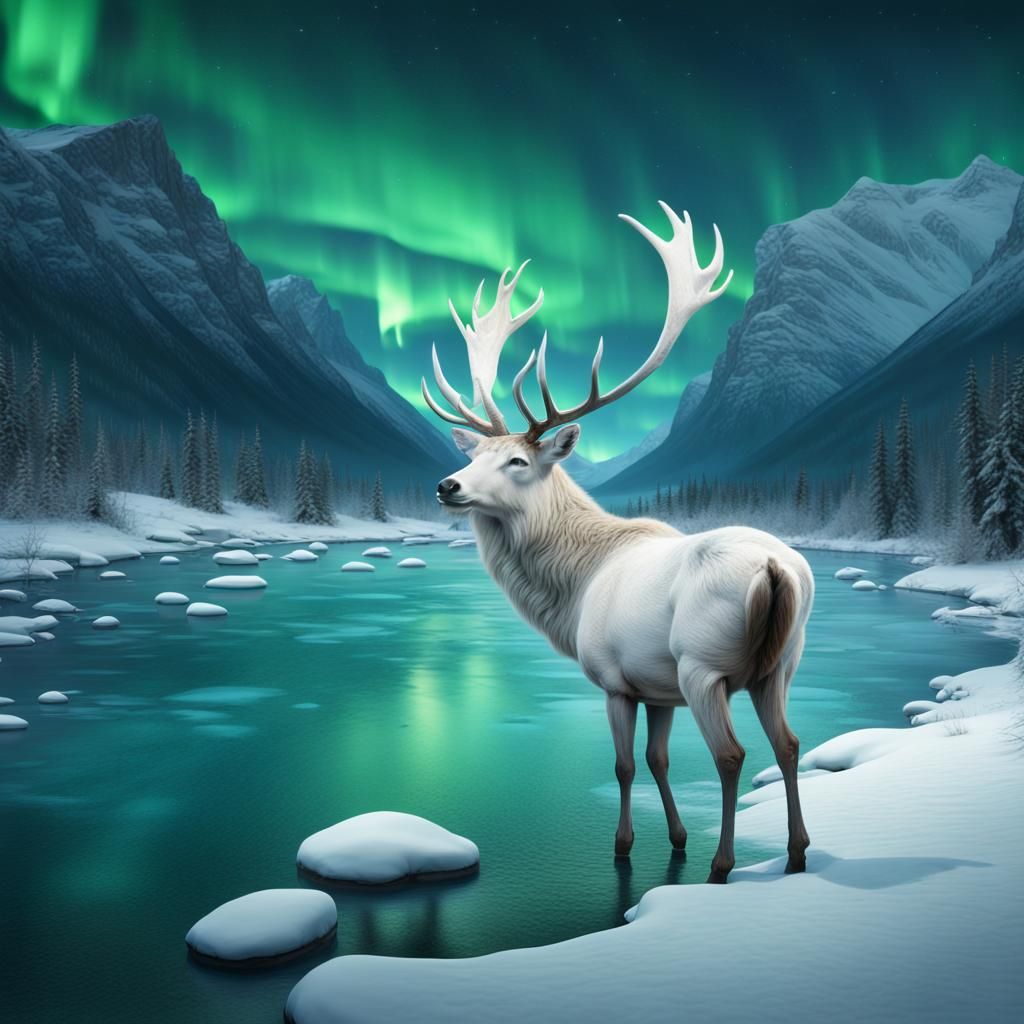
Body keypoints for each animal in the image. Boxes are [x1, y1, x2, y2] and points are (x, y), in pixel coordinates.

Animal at [422, 203, 813, 883]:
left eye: (518, 460)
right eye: (477, 457)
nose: (448, 485)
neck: (574, 588)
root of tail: (773, 567)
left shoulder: (612, 679)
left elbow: (625, 765)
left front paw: (624, 847)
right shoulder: (654, 687)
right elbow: (658, 760)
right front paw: (676, 838)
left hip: (704, 665)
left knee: (733, 754)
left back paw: (722, 865)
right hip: (781, 664)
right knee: (787, 744)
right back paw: (795, 853)